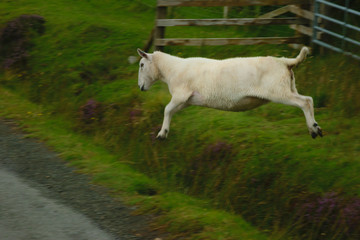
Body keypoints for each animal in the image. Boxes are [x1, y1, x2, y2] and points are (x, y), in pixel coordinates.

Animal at [136, 47, 322, 140]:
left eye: (142, 65)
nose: (140, 87)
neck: (172, 69)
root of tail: (284, 62)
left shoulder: (181, 94)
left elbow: (166, 109)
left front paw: (162, 133)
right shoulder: (187, 100)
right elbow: (171, 111)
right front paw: (165, 131)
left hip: (278, 91)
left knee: (304, 102)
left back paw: (313, 128)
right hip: (289, 87)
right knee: (309, 100)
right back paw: (315, 128)